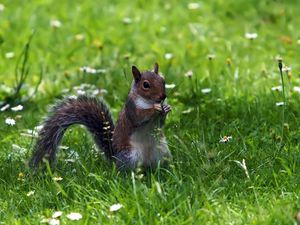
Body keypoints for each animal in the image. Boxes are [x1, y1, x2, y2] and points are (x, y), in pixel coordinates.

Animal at [30, 62, 172, 170]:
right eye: (145, 85)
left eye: (163, 80)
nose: (163, 96)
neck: (148, 102)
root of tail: (114, 158)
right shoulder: (131, 109)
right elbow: (139, 117)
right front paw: (155, 109)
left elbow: (160, 123)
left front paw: (166, 108)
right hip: (130, 156)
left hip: (163, 151)